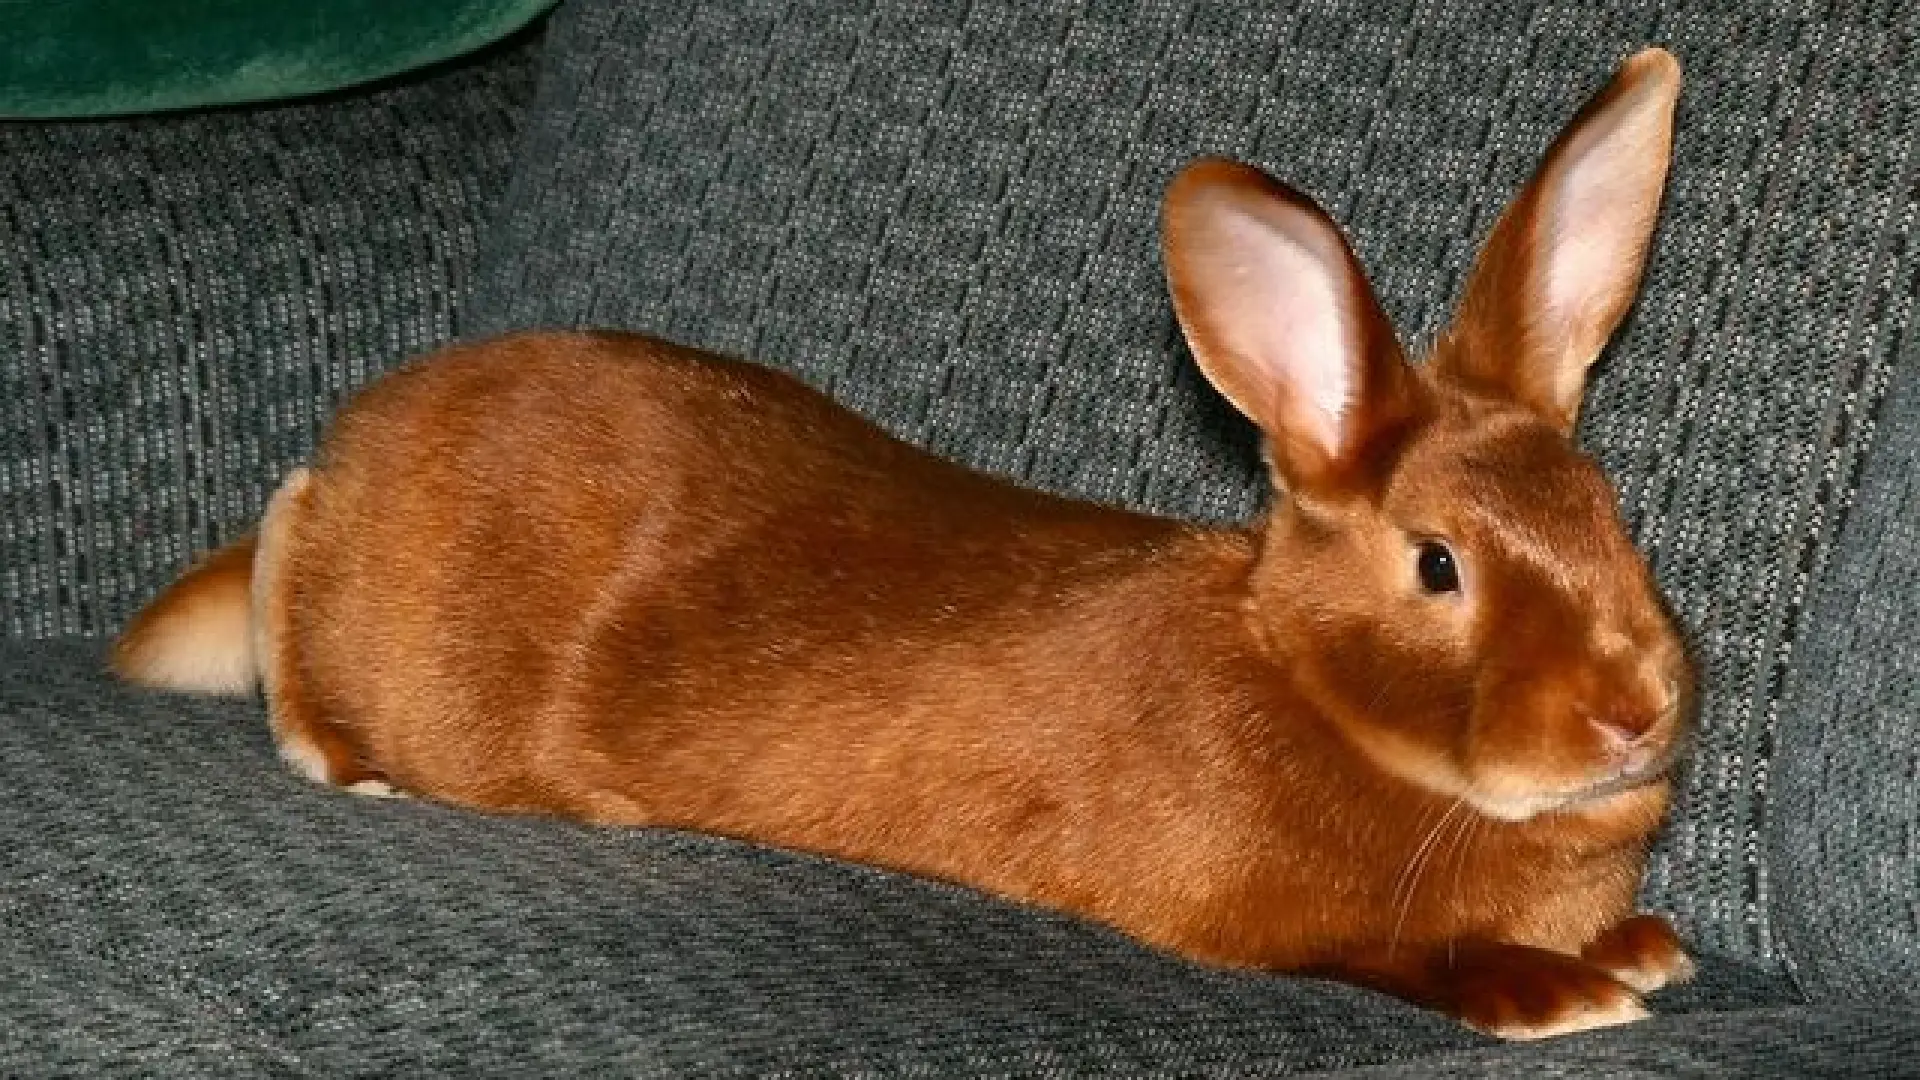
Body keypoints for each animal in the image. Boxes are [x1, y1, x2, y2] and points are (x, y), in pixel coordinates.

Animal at [113, 48, 1694, 1040]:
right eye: (1437, 565)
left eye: (1609, 511)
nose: (1638, 710)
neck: (1312, 683)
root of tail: (370, 433)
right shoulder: (1263, 915)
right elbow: (1388, 949)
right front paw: (1564, 993)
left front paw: (1641, 947)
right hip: (384, 624)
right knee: (285, 538)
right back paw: (329, 749)